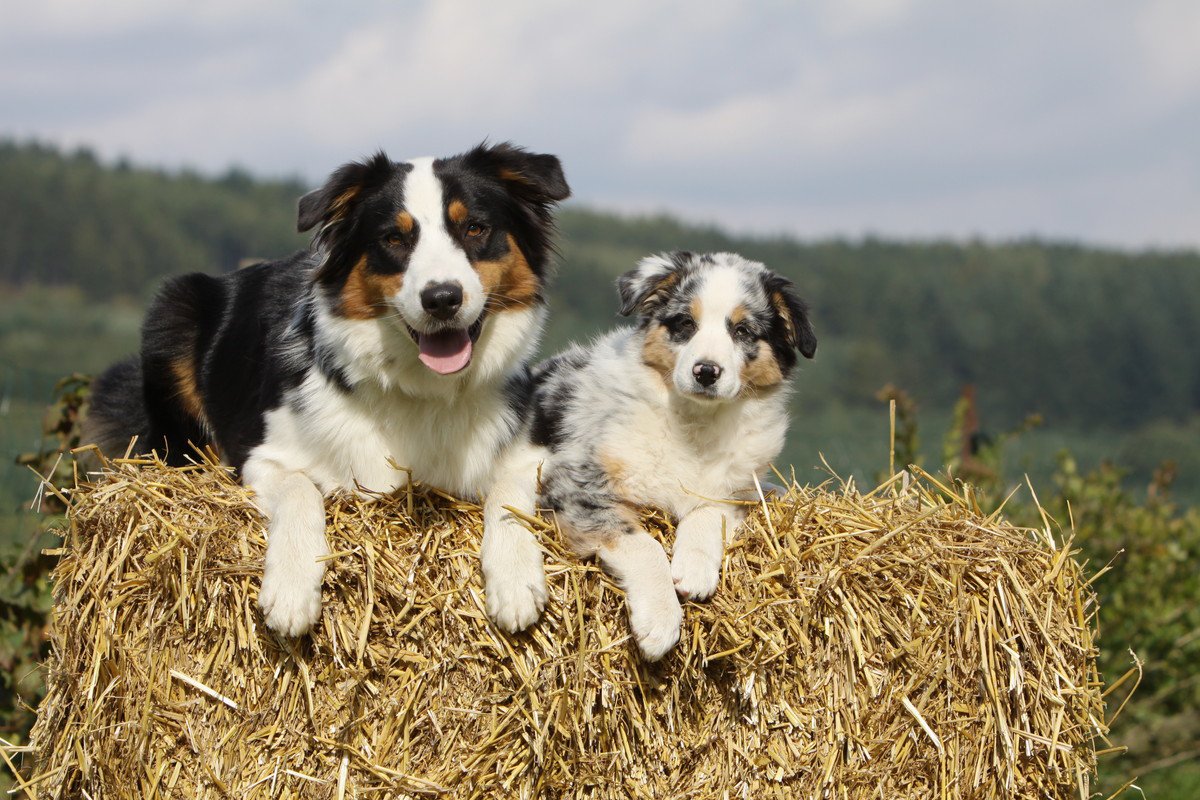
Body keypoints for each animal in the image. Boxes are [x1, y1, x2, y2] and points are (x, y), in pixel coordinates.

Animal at [85, 140, 571, 633]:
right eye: (393, 239)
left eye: (474, 227)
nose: (441, 299)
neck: (421, 389)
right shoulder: (262, 454)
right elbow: (300, 489)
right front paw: (291, 590)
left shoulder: (532, 450)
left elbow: (510, 494)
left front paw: (515, 580)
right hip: (174, 308)